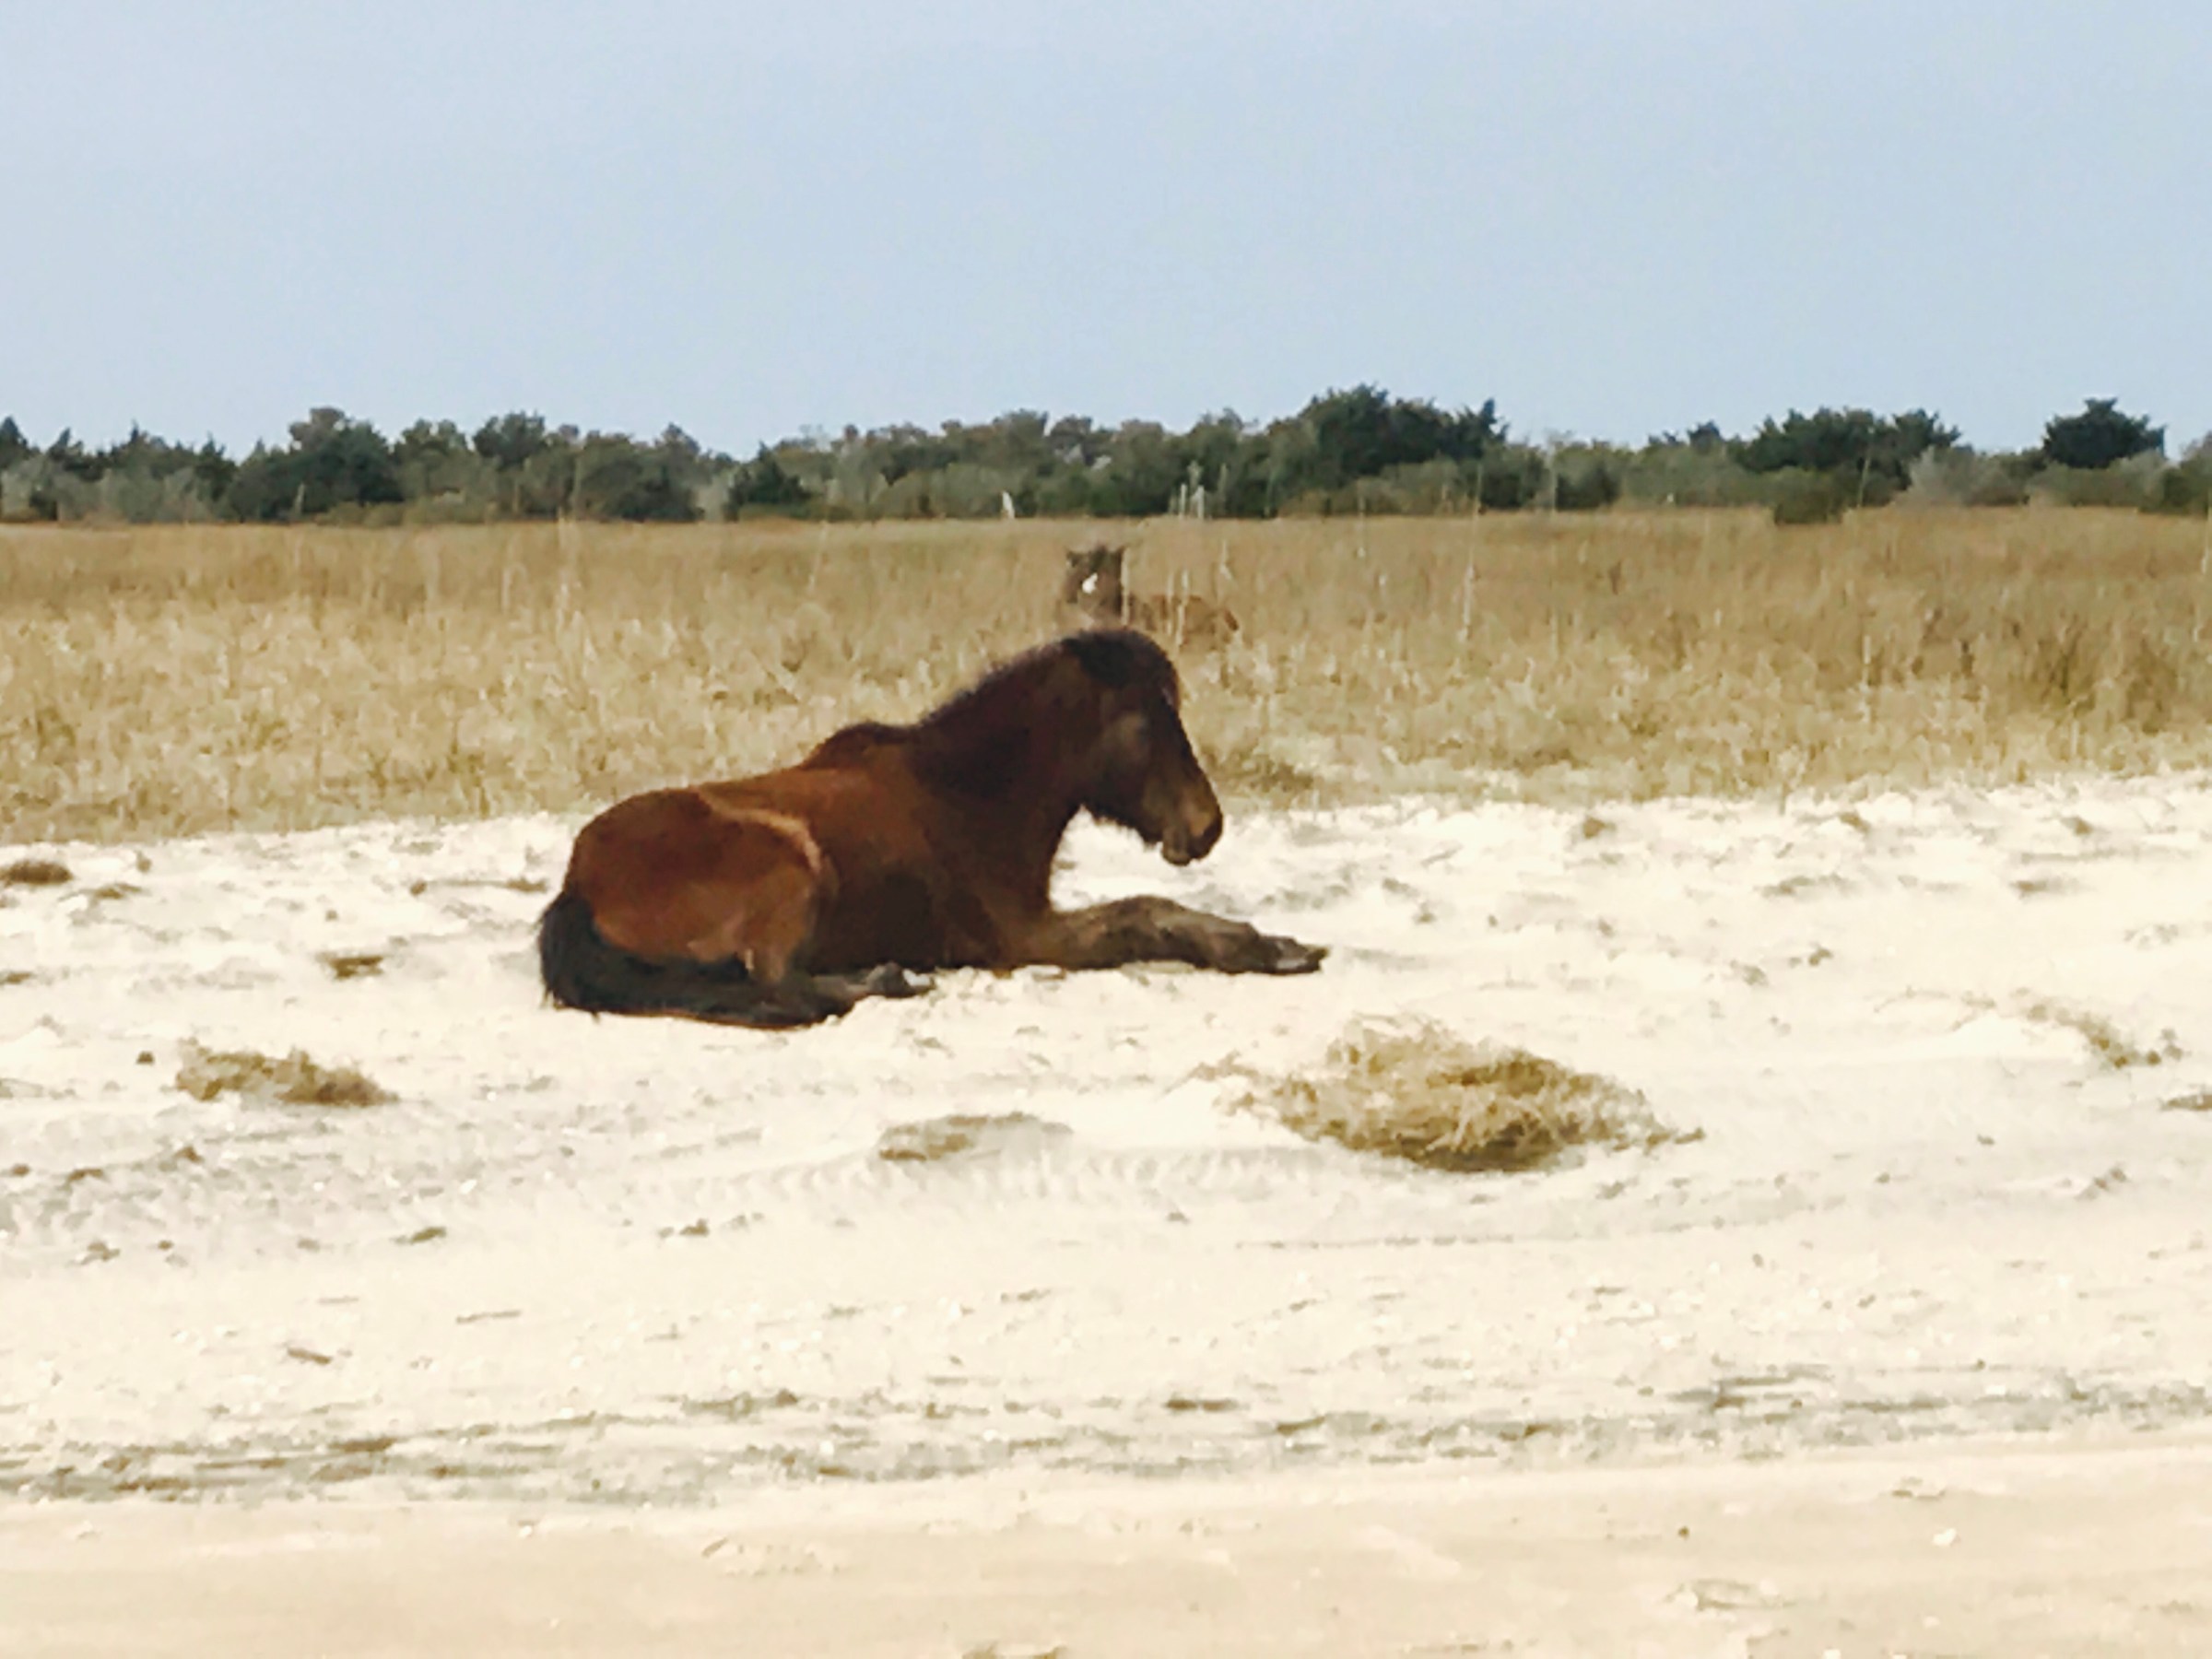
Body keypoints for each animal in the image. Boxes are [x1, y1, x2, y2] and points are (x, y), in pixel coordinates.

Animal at [537, 628, 1324, 1027]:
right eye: (1145, 721)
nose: (1207, 826)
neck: (965, 792)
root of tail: (580, 883)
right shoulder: (1026, 937)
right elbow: (1146, 914)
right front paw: (1267, 949)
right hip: (791, 862)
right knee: (778, 981)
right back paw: (886, 980)